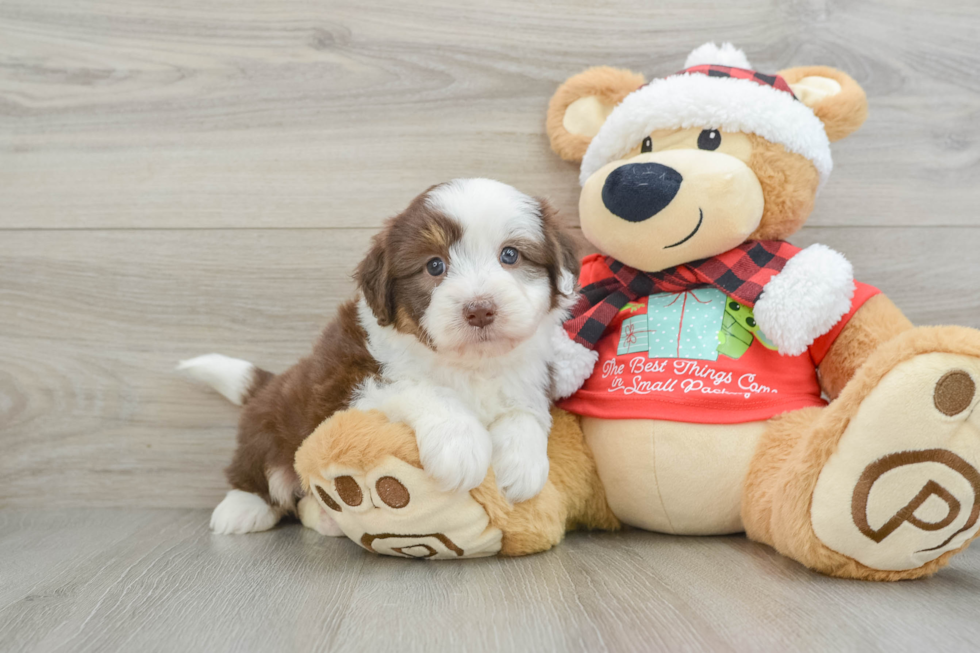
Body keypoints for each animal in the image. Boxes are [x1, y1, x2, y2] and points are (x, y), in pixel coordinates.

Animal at [182, 176, 596, 532]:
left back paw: (324, 516)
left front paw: (522, 465)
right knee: (257, 470)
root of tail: (273, 383)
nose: (479, 309)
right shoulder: (345, 383)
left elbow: (526, 412)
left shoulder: (531, 374)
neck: (469, 364)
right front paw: (460, 444)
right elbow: (418, 387)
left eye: (510, 255)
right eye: (434, 265)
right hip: (271, 424)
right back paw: (241, 508)